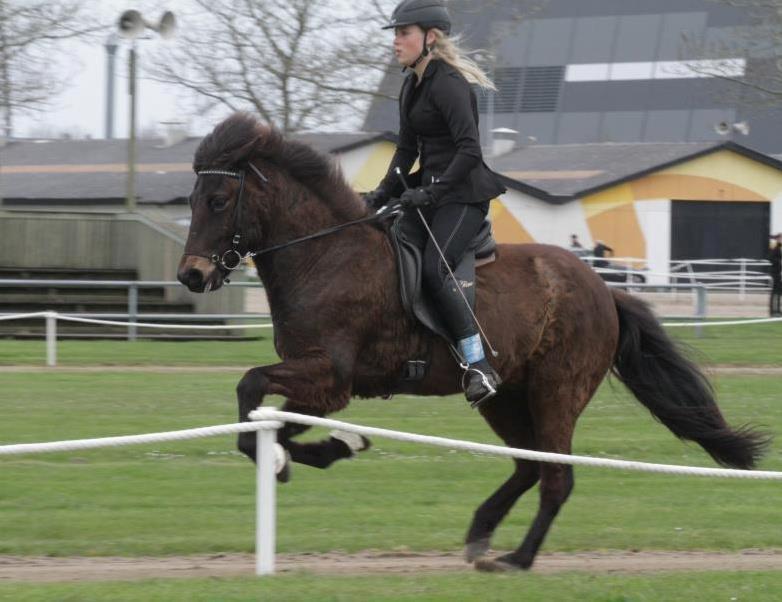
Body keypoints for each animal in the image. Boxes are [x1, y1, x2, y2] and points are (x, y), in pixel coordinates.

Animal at [176, 113, 764, 572]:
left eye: (219, 199)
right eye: (193, 200)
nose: (190, 276)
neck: (325, 255)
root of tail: (603, 288)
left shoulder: (329, 373)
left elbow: (251, 391)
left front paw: (295, 456)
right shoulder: (324, 384)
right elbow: (270, 422)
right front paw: (331, 447)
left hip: (557, 391)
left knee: (556, 476)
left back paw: (518, 559)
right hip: (506, 397)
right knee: (528, 465)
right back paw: (482, 533)